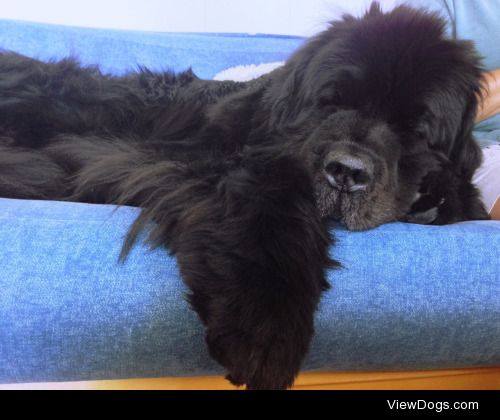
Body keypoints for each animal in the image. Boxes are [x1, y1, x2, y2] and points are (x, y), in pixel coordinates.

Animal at [0, 4, 490, 390]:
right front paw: (264, 326)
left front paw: (442, 200)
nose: (346, 171)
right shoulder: (189, 161)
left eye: (416, 130)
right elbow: (267, 202)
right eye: (330, 102)